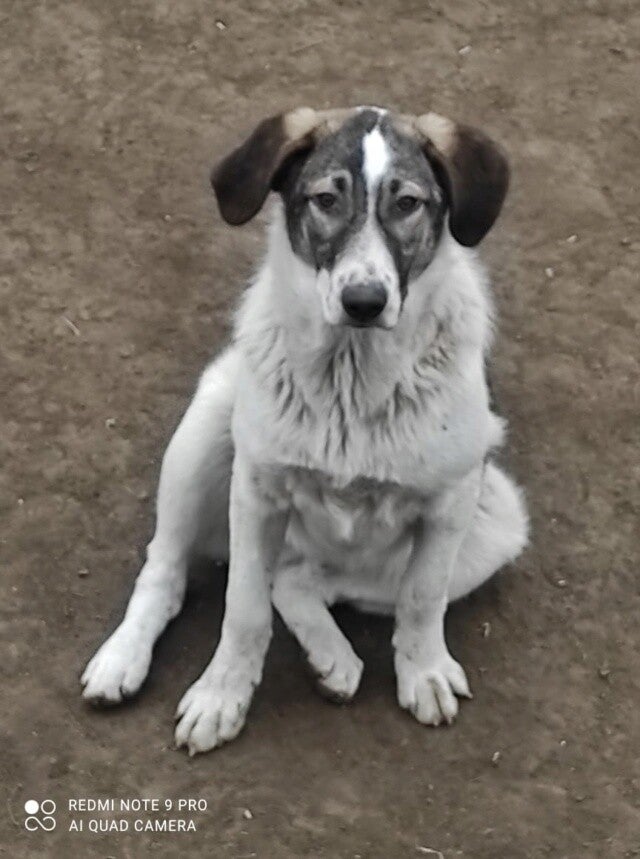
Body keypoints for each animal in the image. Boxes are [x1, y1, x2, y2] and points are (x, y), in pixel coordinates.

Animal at [81, 106, 528, 755]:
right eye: (324, 199)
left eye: (408, 203)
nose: (364, 301)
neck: (351, 374)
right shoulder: (256, 494)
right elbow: (242, 609)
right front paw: (221, 696)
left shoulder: (451, 501)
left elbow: (421, 601)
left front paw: (424, 671)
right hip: (209, 424)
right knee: (167, 568)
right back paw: (123, 658)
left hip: (493, 525)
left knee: (298, 581)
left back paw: (332, 658)